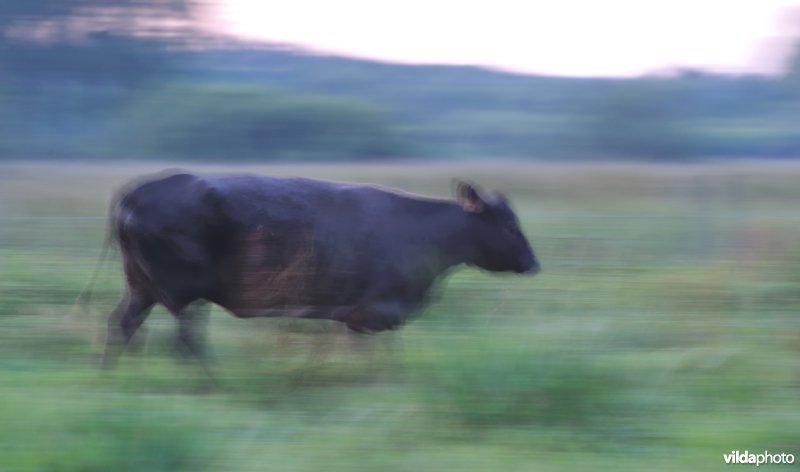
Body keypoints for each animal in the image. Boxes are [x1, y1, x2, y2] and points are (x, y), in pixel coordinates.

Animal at [98, 171, 536, 366]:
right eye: (509, 226)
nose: (534, 263)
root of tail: (135, 194)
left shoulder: (360, 317)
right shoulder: (370, 313)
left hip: (141, 287)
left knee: (121, 325)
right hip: (184, 291)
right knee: (184, 342)